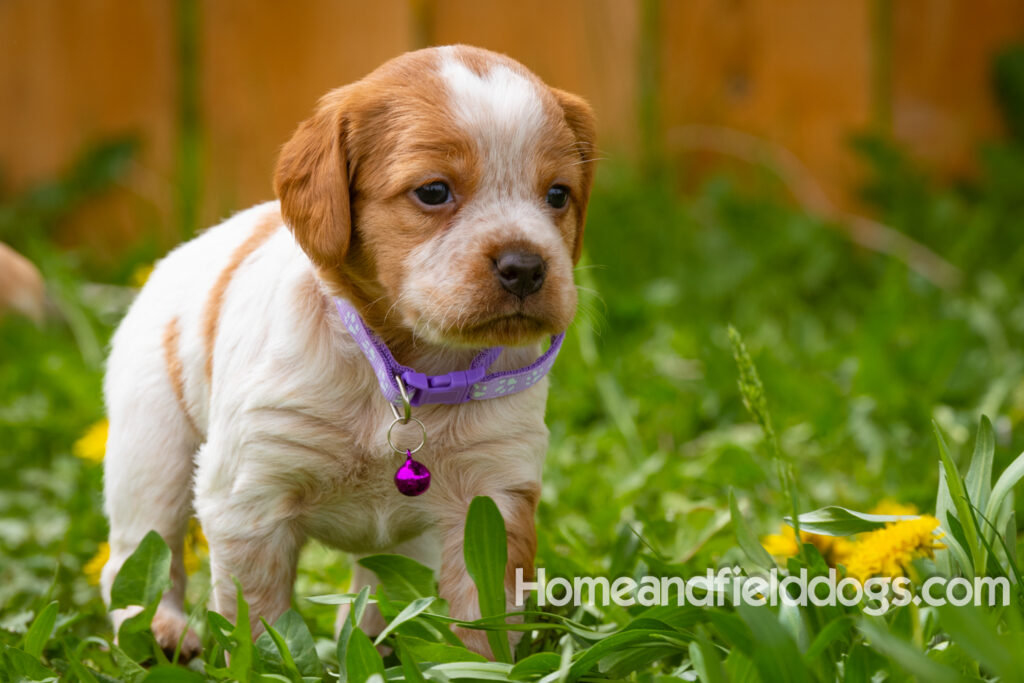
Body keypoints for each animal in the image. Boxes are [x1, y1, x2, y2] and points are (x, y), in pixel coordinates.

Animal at [99, 45, 598, 659]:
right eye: (434, 191)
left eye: (558, 195)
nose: (526, 267)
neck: (406, 372)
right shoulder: (249, 497)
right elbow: (260, 622)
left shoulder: (493, 493)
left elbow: (483, 619)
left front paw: (476, 662)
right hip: (151, 451)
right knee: (139, 549)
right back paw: (158, 630)